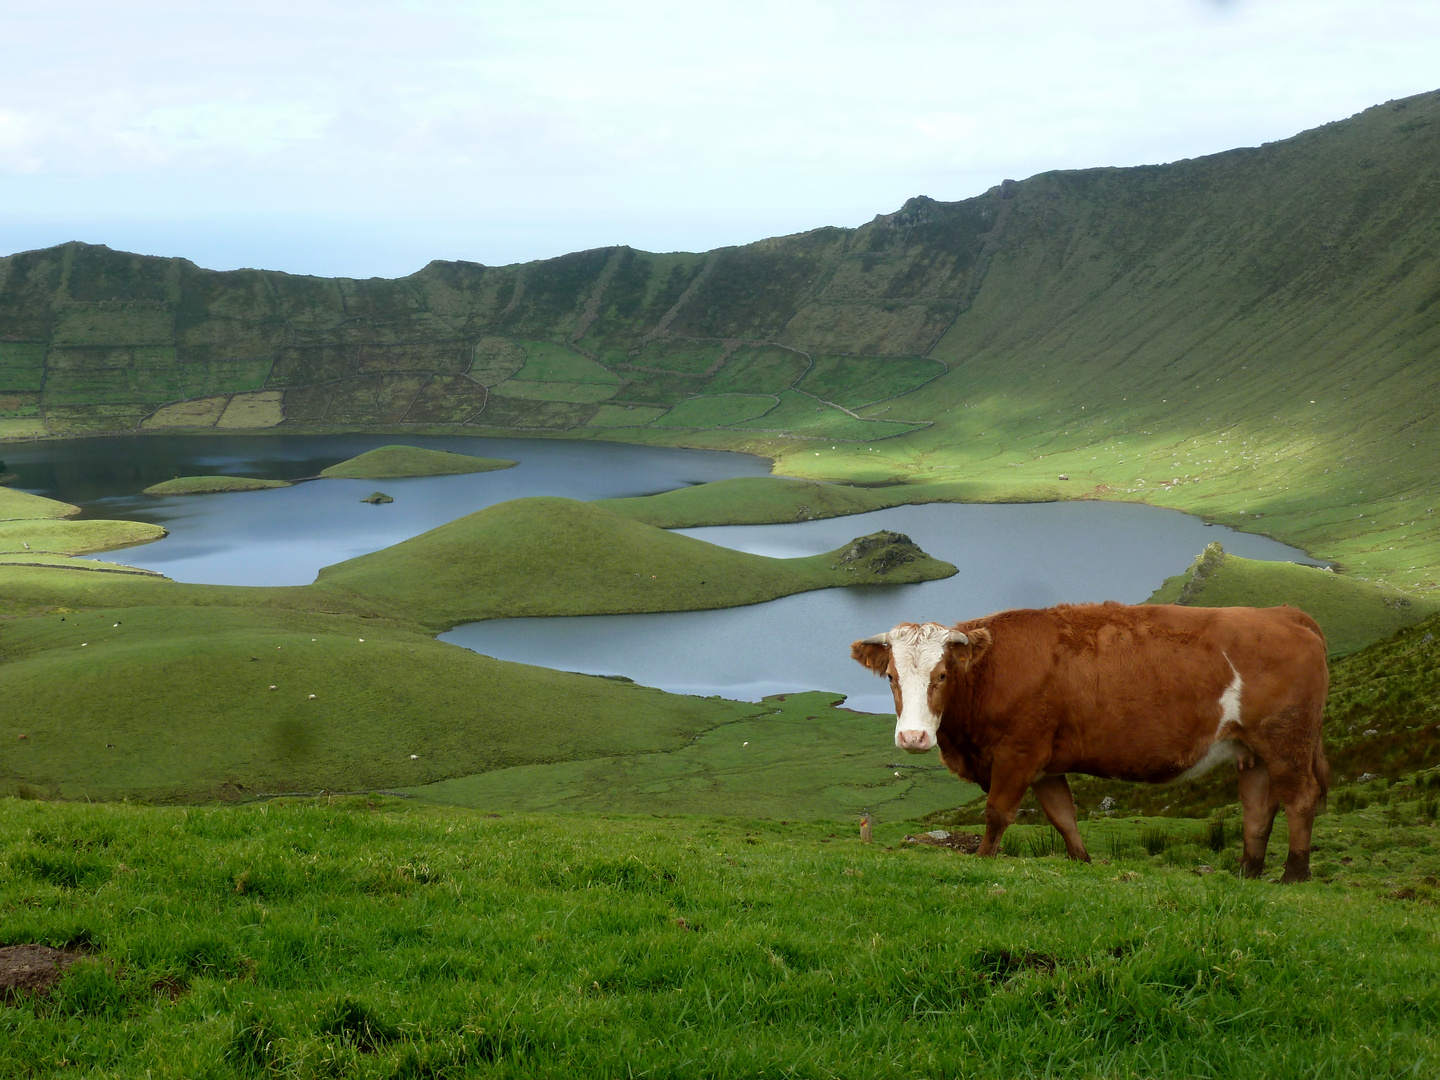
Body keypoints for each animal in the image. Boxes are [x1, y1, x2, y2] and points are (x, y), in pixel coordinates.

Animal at [846, 604, 1330, 881]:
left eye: (943, 674)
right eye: (891, 676)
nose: (912, 737)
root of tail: (1285, 613)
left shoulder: (1017, 753)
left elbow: (997, 813)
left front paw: (983, 860)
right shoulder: (1045, 764)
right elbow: (1063, 817)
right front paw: (1082, 863)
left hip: (1287, 742)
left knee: (1299, 799)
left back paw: (1294, 874)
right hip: (1253, 752)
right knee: (1258, 809)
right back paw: (1248, 873)